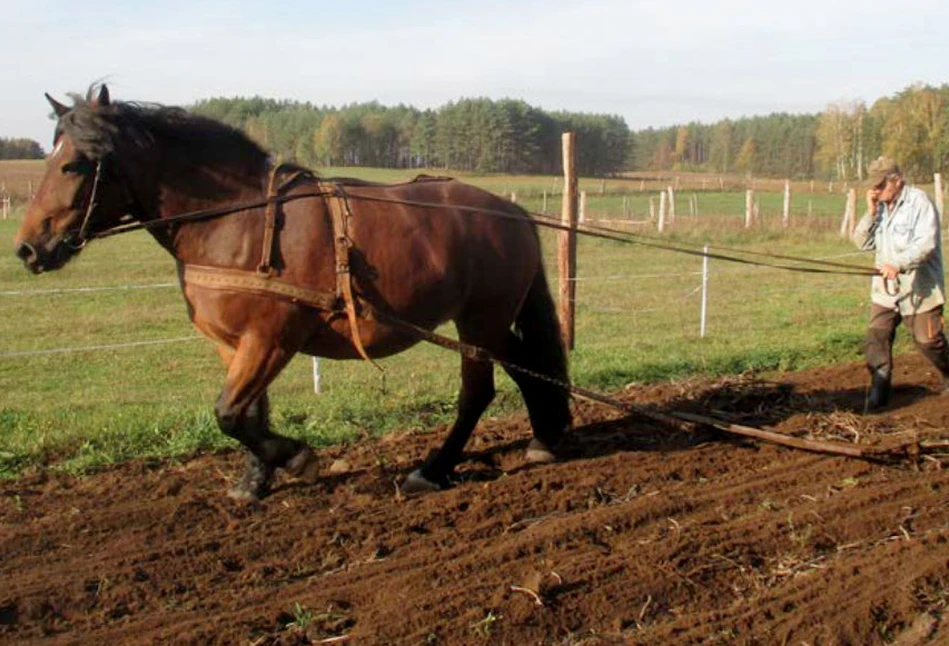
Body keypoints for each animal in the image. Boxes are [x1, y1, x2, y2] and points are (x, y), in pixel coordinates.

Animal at [12, 85, 572, 502]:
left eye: (76, 164)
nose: (27, 248)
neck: (236, 221)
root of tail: (512, 210)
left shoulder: (271, 338)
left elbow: (229, 413)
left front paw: (297, 458)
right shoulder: (234, 342)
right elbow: (249, 412)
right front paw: (253, 480)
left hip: (480, 320)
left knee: (477, 392)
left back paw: (433, 469)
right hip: (490, 321)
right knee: (527, 365)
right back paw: (544, 438)